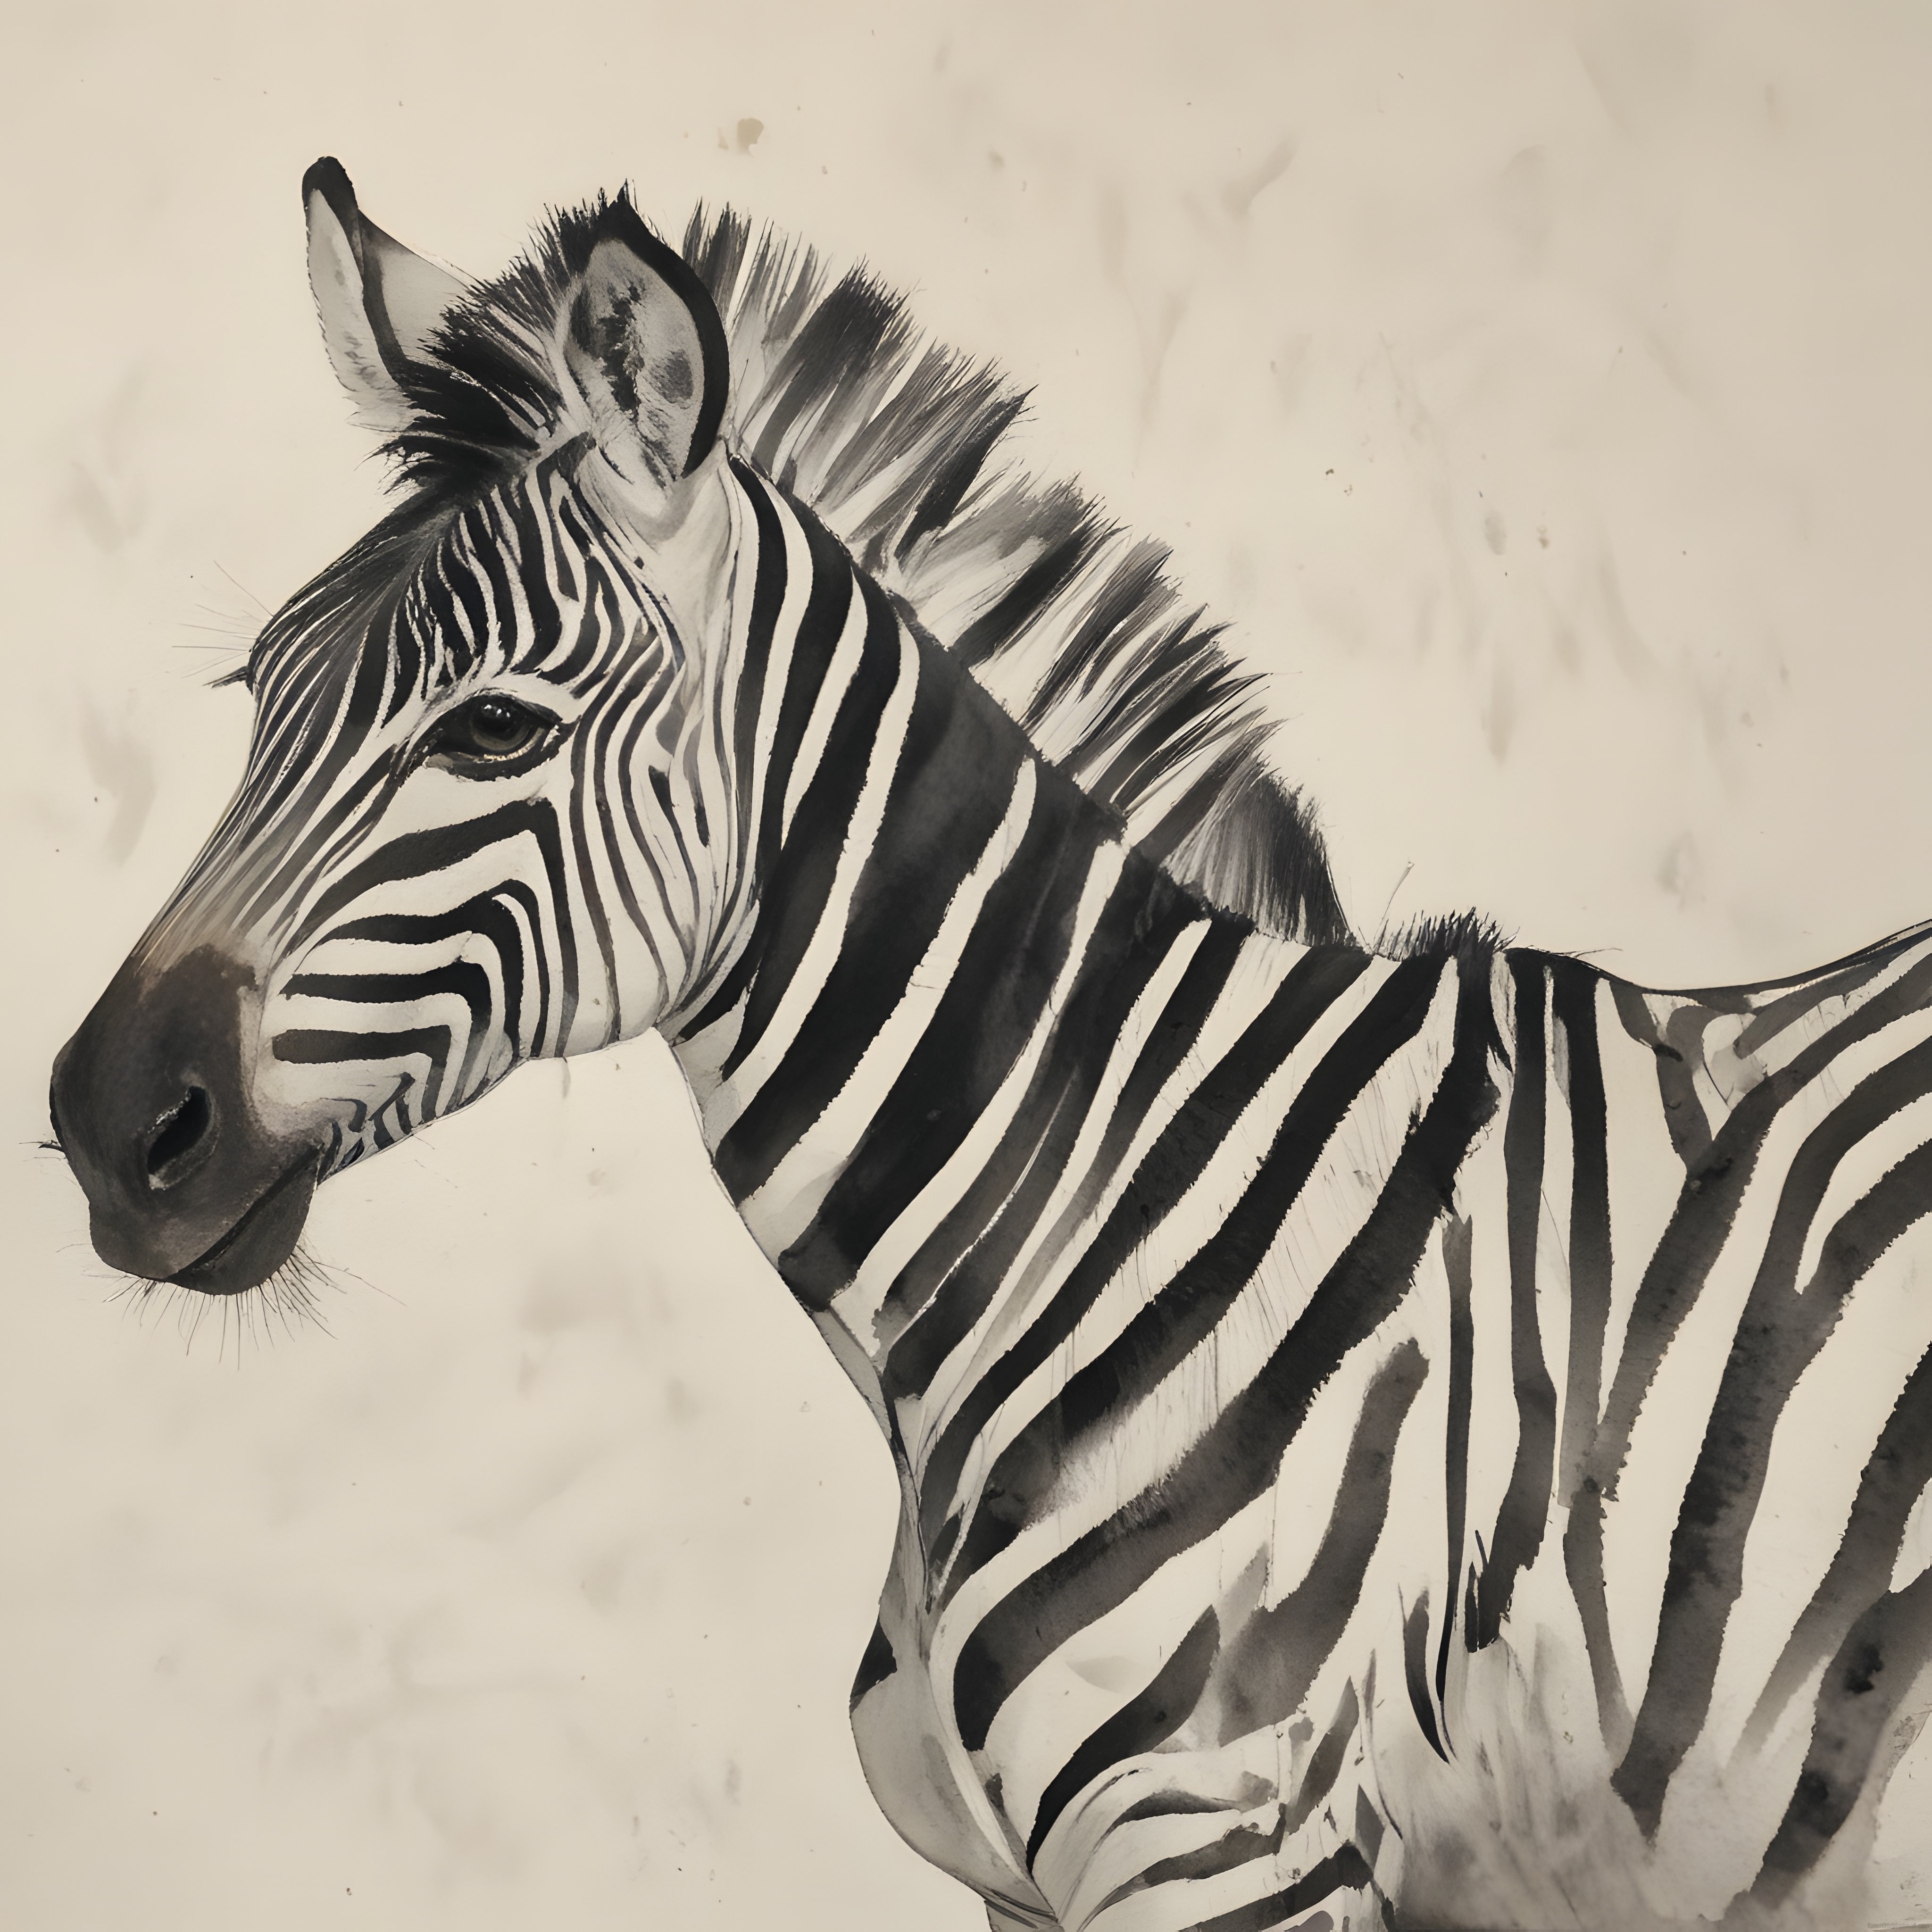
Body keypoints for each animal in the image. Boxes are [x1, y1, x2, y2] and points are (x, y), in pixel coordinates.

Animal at [46, 160, 1932, 1931]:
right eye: (259, 692)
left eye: (496, 727)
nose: (105, 1122)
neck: (1112, 1202)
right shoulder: (1040, 1885)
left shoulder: (1231, 1847)